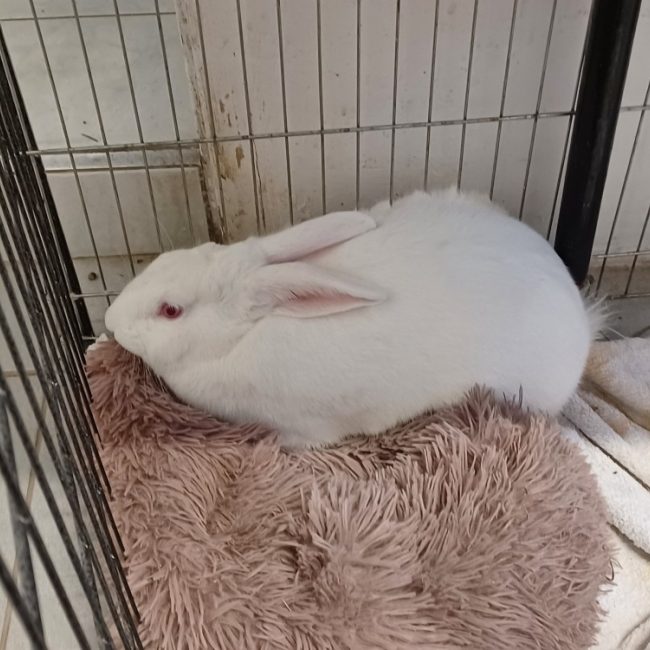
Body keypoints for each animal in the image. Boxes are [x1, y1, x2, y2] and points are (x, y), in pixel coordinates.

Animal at [104, 188, 602, 449]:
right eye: (165, 259)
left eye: (170, 310)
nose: (109, 319)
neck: (239, 339)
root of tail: (580, 313)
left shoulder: (302, 429)